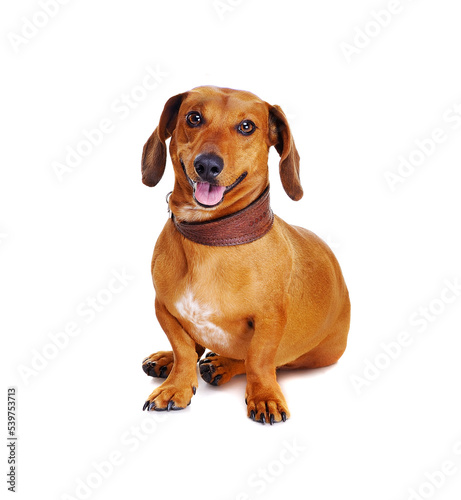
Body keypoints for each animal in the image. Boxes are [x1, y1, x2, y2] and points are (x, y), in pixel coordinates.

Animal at [140, 88, 348, 424]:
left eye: (247, 126)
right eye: (193, 117)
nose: (207, 165)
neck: (213, 239)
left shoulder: (269, 321)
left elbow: (259, 360)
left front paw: (263, 396)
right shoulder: (164, 308)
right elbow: (184, 349)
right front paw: (176, 384)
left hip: (311, 355)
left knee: (267, 362)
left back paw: (222, 365)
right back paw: (166, 359)